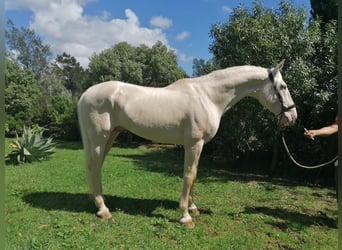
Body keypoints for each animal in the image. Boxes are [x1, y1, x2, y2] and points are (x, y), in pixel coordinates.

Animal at [77, 60, 296, 229]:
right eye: (283, 87)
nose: (292, 117)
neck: (208, 96)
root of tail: (85, 95)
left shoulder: (198, 146)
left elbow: (195, 174)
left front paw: (193, 208)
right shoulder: (193, 144)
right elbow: (189, 176)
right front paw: (186, 216)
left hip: (109, 137)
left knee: (94, 167)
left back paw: (99, 201)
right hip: (99, 138)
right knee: (94, 168)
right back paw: (103, 209)